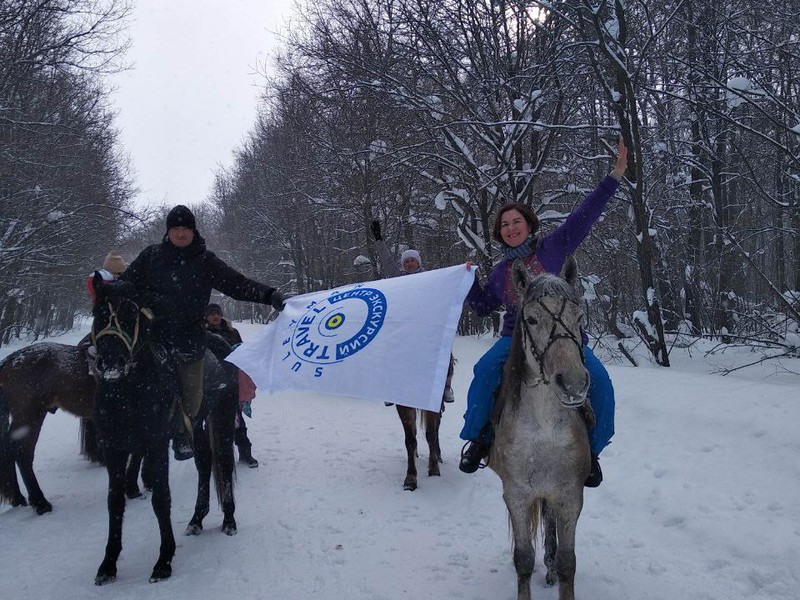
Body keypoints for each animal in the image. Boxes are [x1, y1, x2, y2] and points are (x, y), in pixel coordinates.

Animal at [488, 258, 592, 600]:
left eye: (579, 317)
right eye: (531, 319)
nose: (573, 384)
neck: (544, 429)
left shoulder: (570, 496)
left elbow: (568, 562)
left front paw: (557, 570)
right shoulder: (517, 495)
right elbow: (523, 559)